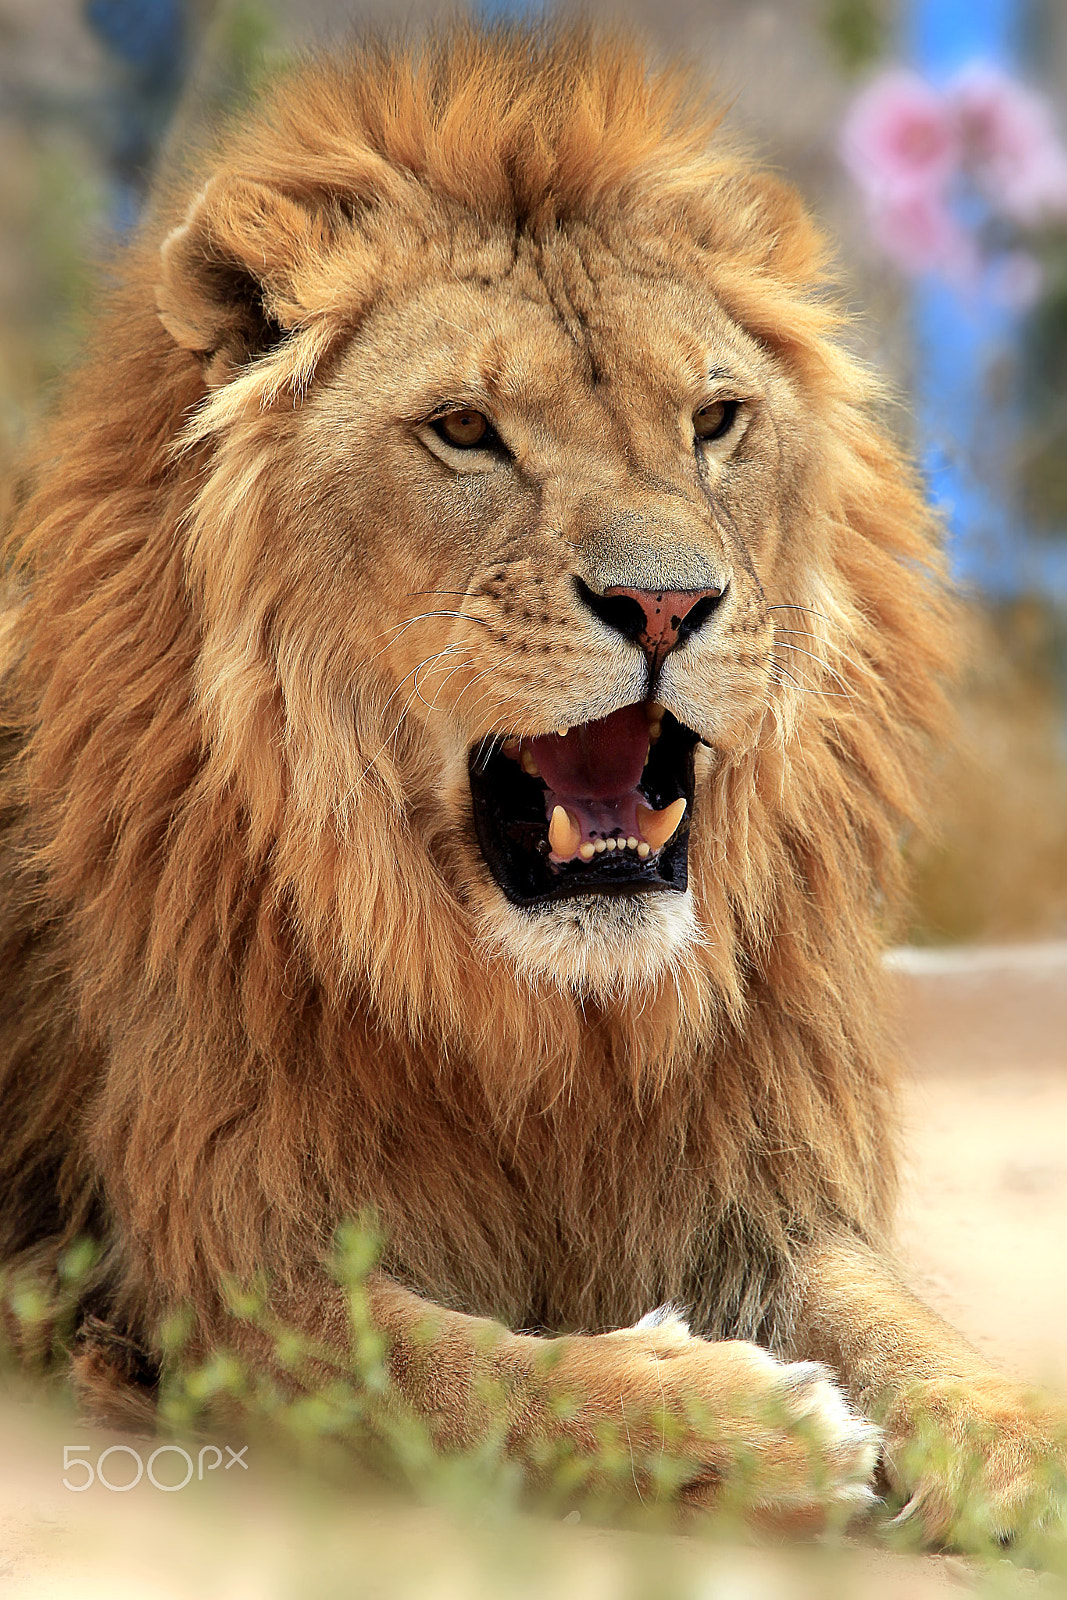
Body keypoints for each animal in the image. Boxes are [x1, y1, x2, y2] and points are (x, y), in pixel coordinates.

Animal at [1, 21, 1063, 1543]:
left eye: (714, 419)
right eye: (462, 430)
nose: (667, 604)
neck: (544, 1026)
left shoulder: (752, 1182)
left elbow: (908, 1334)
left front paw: (1018, 1447)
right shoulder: (212, 1268)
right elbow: (449, 1377)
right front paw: (737, 1422)